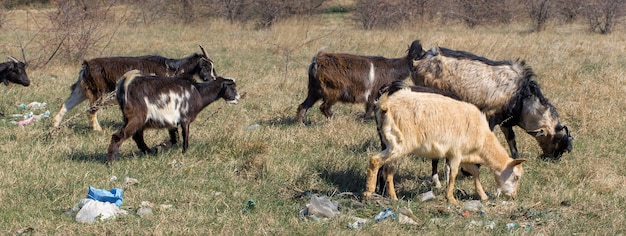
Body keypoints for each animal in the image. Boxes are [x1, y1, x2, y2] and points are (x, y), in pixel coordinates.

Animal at [51, 45, 217, 132]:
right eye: (207, 67)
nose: (214, 79)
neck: (172, 68)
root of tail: (86, 65)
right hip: (98, 93)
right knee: (91, 111)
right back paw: (98, 130)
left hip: (81, 91)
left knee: (65, 105)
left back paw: (54, 126)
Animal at [106, 69, 238, 163]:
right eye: (232, 87)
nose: (237, 98)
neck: (198, 92)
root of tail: (125, 83)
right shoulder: (185, 119)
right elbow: (185, 138)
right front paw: (184, 152)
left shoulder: (172, 122)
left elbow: (175, 139)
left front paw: (160, 147)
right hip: (137, 117)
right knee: (119, 136)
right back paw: (111, 161)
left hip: (132, 119)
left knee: (137, 137)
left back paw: (150, 153)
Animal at [364, 80, 524, 203]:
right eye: (516, 177)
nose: (514, 196)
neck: (483, 140)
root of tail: (385, 105)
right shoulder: (456, 153)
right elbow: (453, 174)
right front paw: (451, 199)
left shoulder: (464, 156)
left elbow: (475, 172)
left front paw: (482, 195)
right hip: (399, 143)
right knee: (375, 161)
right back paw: (369, 193)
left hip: (393, 143)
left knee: (388, 169)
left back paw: (393, 197)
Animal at [404, 41, 572, 159]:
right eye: (556, 140)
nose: (552, 158)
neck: (521, 95)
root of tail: (420, 56)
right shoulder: (490, 114)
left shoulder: (505, 120)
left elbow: (511, 138)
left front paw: (515, 157)